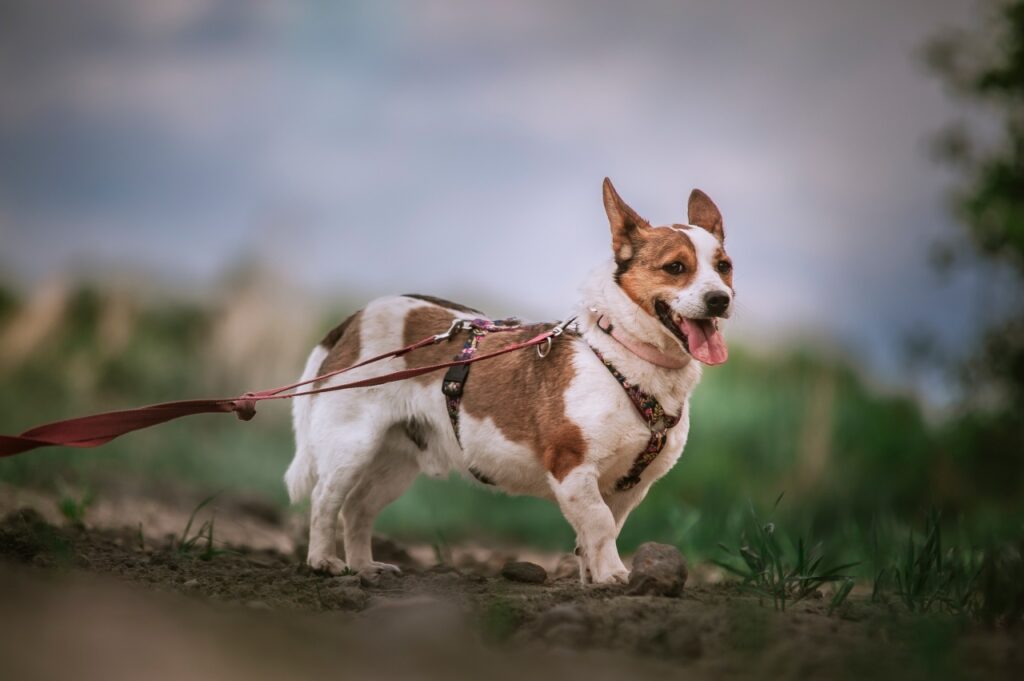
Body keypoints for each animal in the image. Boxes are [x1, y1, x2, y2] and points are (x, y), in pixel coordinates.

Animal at [284, 178, 733, 581]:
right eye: (675, 268)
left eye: (724, 267)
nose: (720, 300)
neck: (622, 353)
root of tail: (354, 319)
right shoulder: (572, 468)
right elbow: (600, 525)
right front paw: (613, 577)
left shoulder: (629, 487)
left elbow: (600, 530)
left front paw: (593, 578)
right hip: (351, 446)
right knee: (326, 501)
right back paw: (324, 561)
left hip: (396, 461)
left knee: (357, 509)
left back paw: (364, 567)